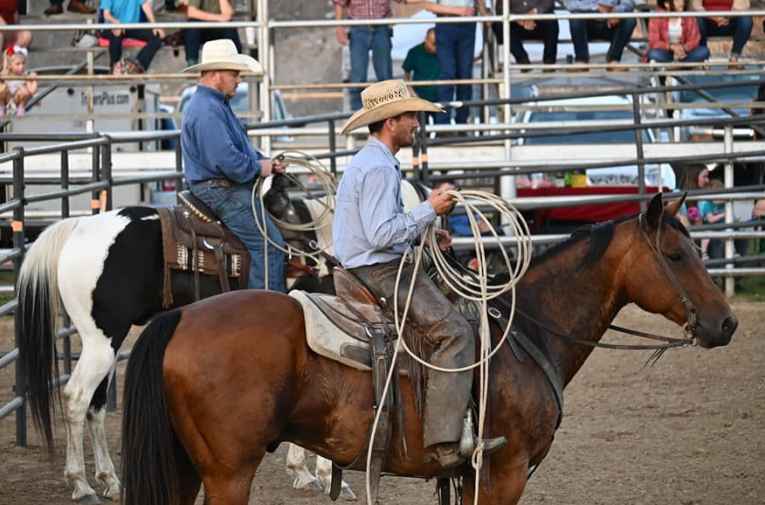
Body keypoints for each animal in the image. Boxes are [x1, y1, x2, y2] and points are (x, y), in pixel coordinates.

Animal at [119, 193, 736, 504]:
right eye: (676, 255)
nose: (726, 323)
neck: (527, 331)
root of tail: (178, 319)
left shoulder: (465, 477)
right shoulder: (504, 470)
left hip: (186, 465)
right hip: (229, 472)